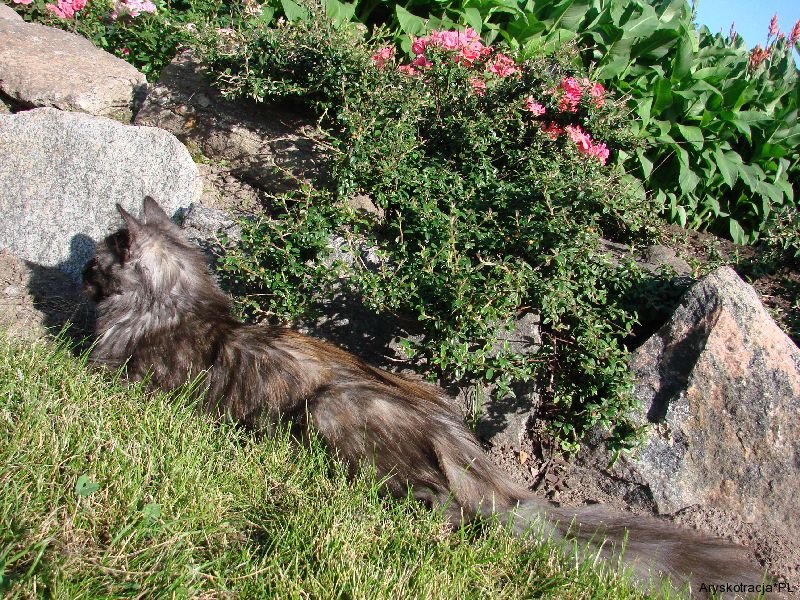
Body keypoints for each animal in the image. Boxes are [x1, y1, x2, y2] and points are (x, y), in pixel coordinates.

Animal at [83, 197, 771, 598]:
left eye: (96, 260)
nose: (83, 272)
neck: (178, 307)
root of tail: (477, 460)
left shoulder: (122, 380)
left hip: (333, 408)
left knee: (442, 512)